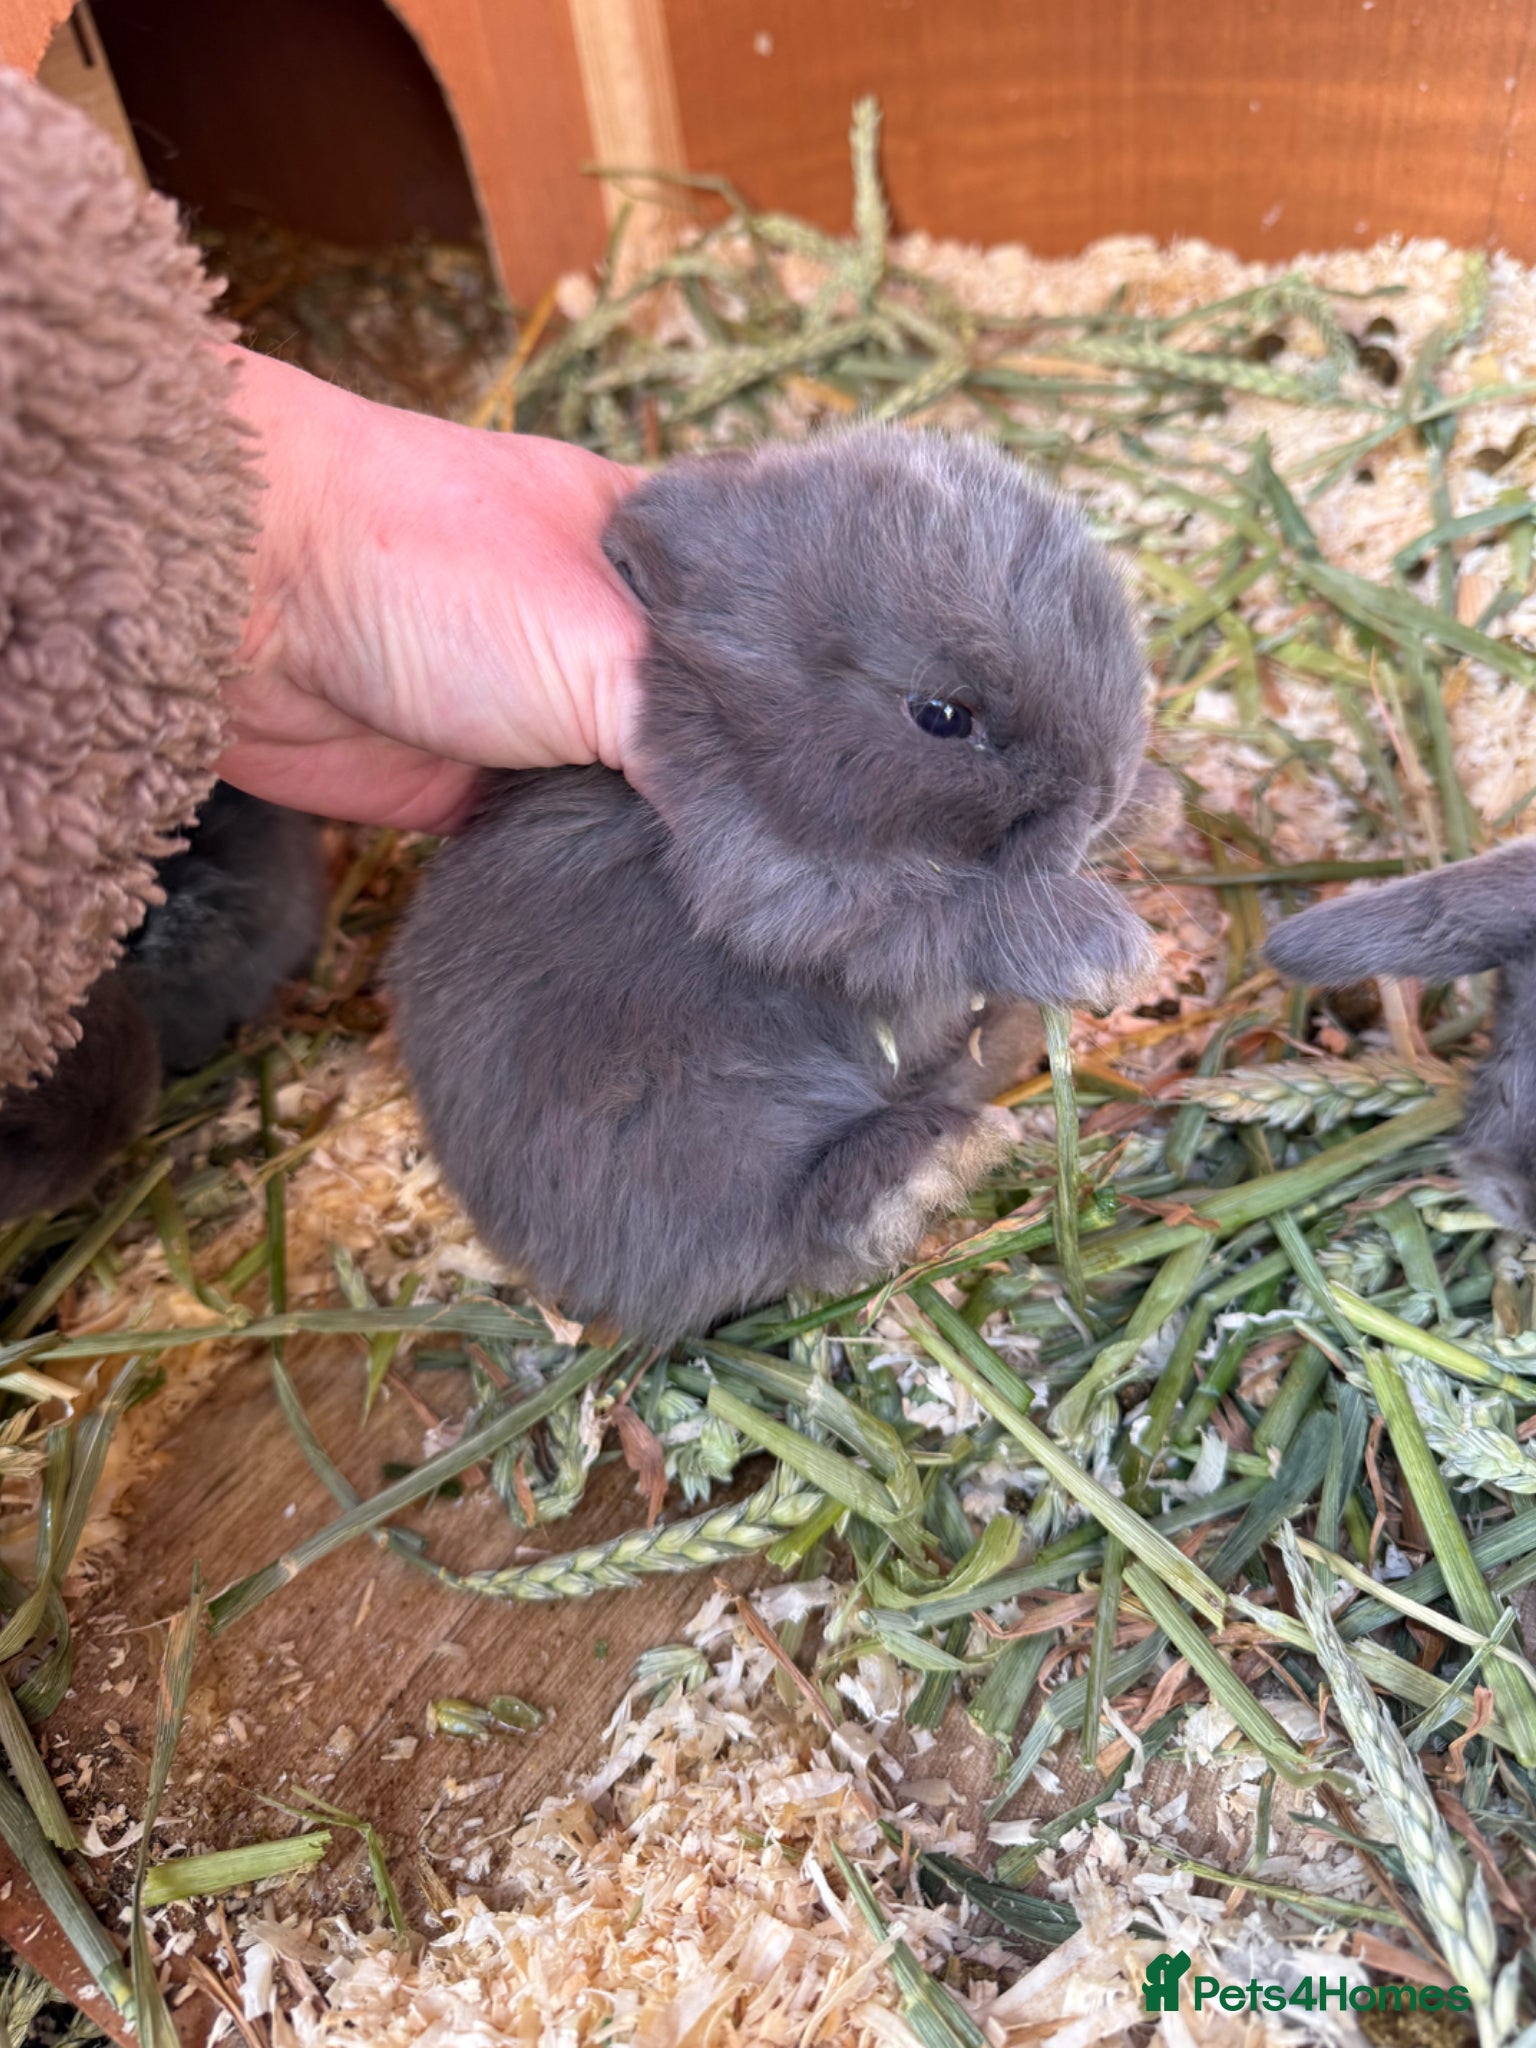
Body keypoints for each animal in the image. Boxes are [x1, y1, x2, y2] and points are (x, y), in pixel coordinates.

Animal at [392, 425, 1161, 1341]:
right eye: (941, 716)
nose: (1105, 793)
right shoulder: (780, 887)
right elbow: (950, 918)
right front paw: (1106, 954)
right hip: (698, 1119)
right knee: (779, 1228)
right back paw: (929, 1169)